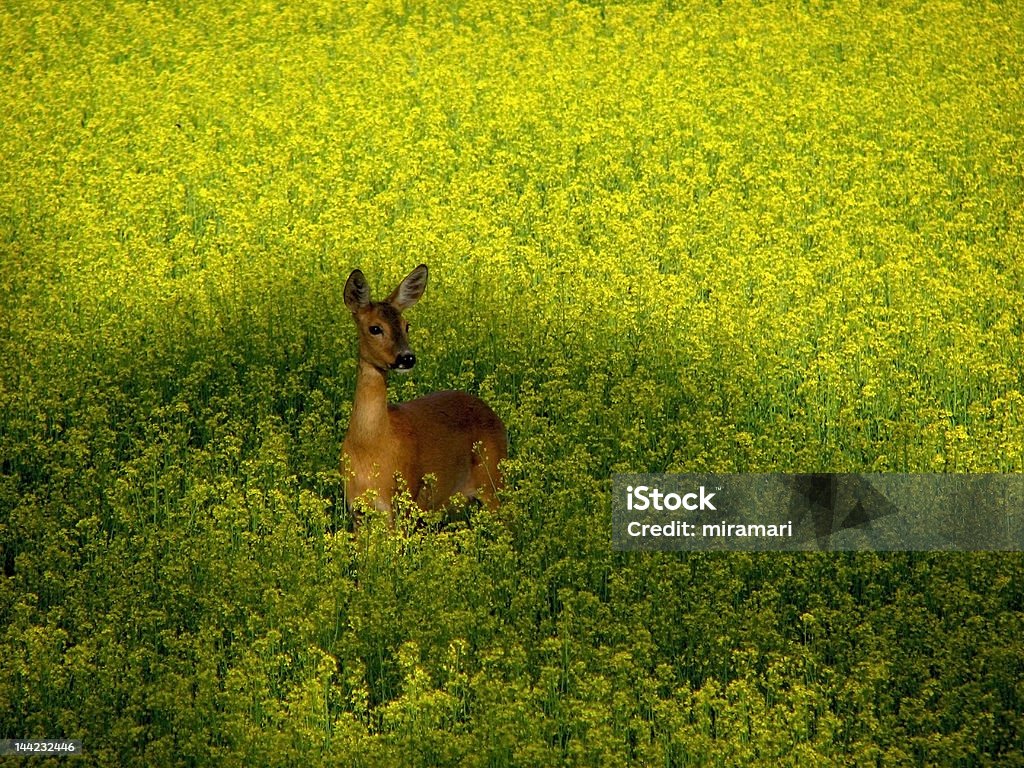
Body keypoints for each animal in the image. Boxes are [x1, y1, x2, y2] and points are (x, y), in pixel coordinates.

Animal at [342, 266, 505, 528]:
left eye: (406, 325)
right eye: (375, 328)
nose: (407, 358)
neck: (370, 446)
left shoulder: (404, 499)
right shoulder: (356, 508)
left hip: (495, 479)